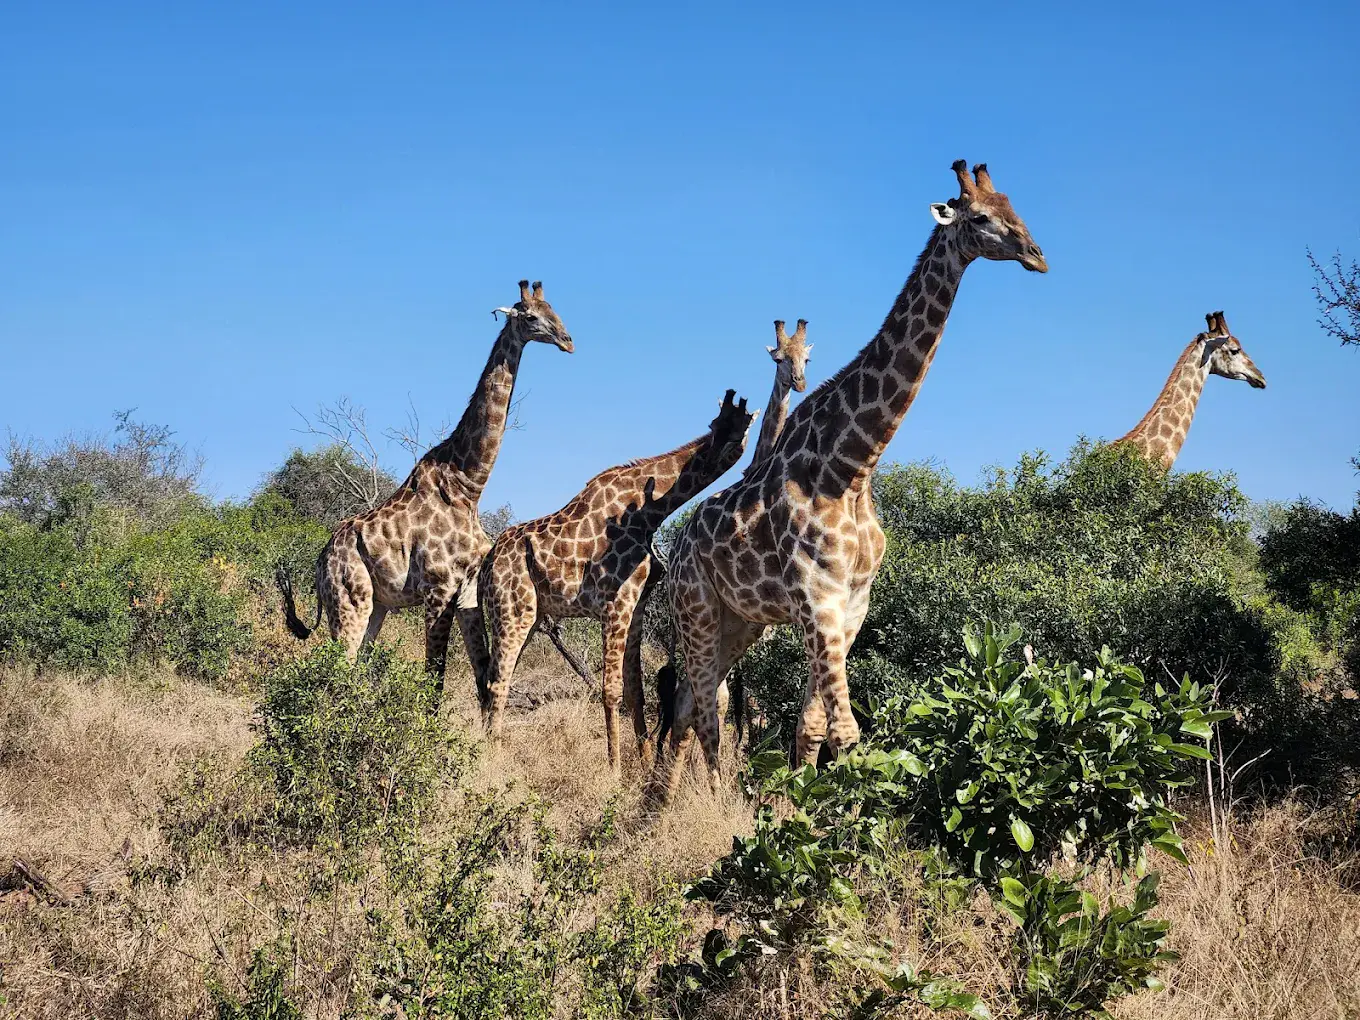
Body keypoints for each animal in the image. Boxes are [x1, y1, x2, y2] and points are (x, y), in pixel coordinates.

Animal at [276, 280, 574, 685]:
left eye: (553, 309)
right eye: (530, 317)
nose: (568, 341)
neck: (469, 486)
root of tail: (319, 563)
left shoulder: (466, 591)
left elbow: (481, 673)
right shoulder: (438, 587)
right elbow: (435, 675)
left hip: (377, 606)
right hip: (348, 600)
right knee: (336, 668)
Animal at [476, 389, 758, 775]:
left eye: (741, 431)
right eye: (717, 426)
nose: (723, 453)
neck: (650, 511)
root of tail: (486, 563)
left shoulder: (636, 604)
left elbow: (636, 689)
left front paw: (643, 762)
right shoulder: (614, 602)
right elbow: (611, 689)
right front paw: (613, 769)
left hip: (527, 616)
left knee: (491, 676)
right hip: (513, 609)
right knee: (498, 680)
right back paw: (492, 757)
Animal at [652, 161, 1047, 802]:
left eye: (1016, 207)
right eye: (982, 217)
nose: (1038, 256)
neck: (853, 468)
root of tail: (677, 547)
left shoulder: (852, 603)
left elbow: (813, 724)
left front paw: (806, 809)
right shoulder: (818, 597)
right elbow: (846, 729)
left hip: (741, 620)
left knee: (692, 700)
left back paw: (664, 807)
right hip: (697, 607)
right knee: (708, 704)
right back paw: (718, 805)